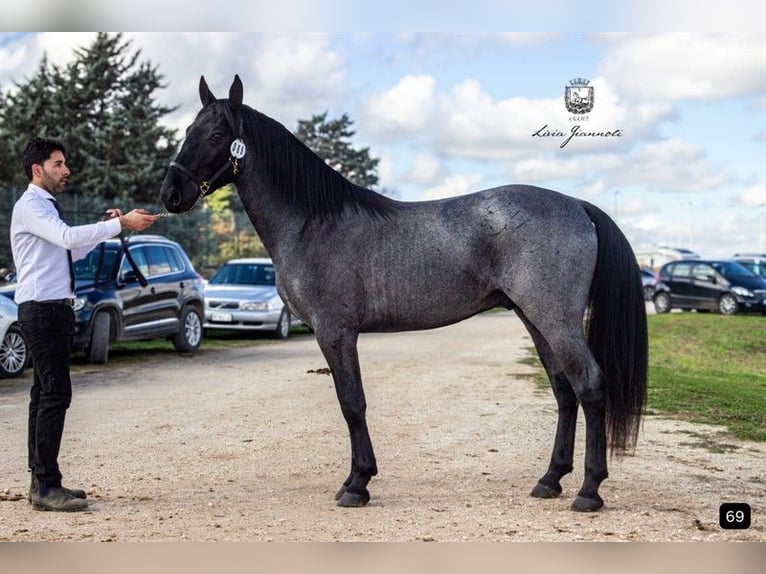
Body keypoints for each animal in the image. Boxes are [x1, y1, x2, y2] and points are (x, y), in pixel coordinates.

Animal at [160, 75, 648, 512]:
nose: (171, 194)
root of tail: (576, 205)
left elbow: (352, 403)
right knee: (564, 392)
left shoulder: (335, 332)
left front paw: (357, 484)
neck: (312, 222)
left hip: (556, 321)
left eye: (217, 134)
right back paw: (550, 480)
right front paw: (357, 480)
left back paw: (589, 491)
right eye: (186, 131)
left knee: (590, 386)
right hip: (536, 320)